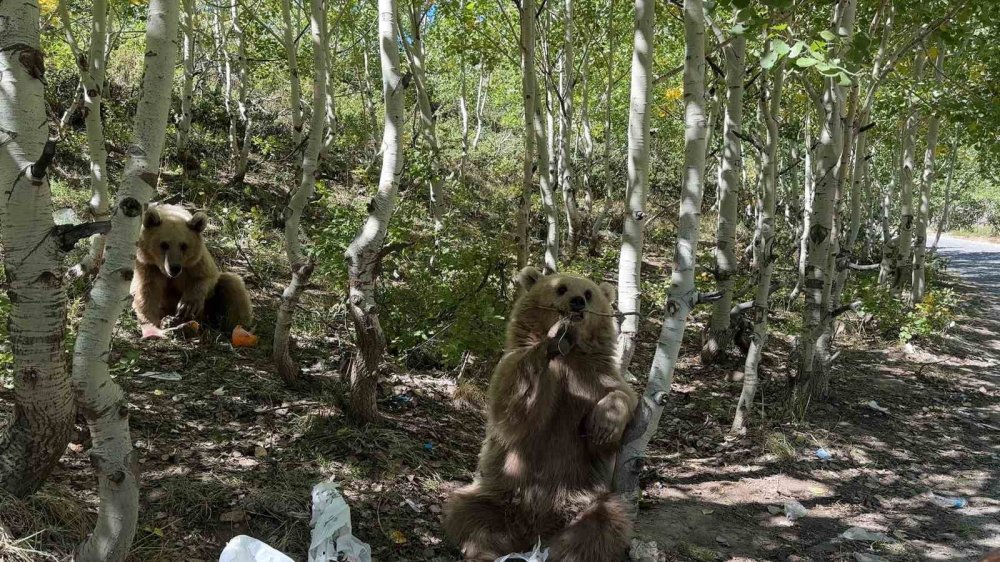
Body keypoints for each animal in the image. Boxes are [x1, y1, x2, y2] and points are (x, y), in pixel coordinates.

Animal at [132, 205, 254, 340]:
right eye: (164, 244)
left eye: (183, 245)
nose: (174, 267)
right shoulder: (147, 266)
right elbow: (146, 294)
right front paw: (153, 328)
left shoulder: (197, 262)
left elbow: (206, 278)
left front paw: (187, 306)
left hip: (210, 307)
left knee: (232, 284)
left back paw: (235, 328)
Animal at [448, 266, 640, 560]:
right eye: (561, 288)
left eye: (589, 293)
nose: (577, 302)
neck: (568, 355)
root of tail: (534, 531)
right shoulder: (513, 368)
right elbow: (512, 409)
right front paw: (554, 335)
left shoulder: (595, 378)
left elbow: (622, 398)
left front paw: (604, 425)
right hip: (499, 491)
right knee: (470, 512)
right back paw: (484, 550)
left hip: (586, 497)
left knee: (604, 524)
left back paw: (564, 552)